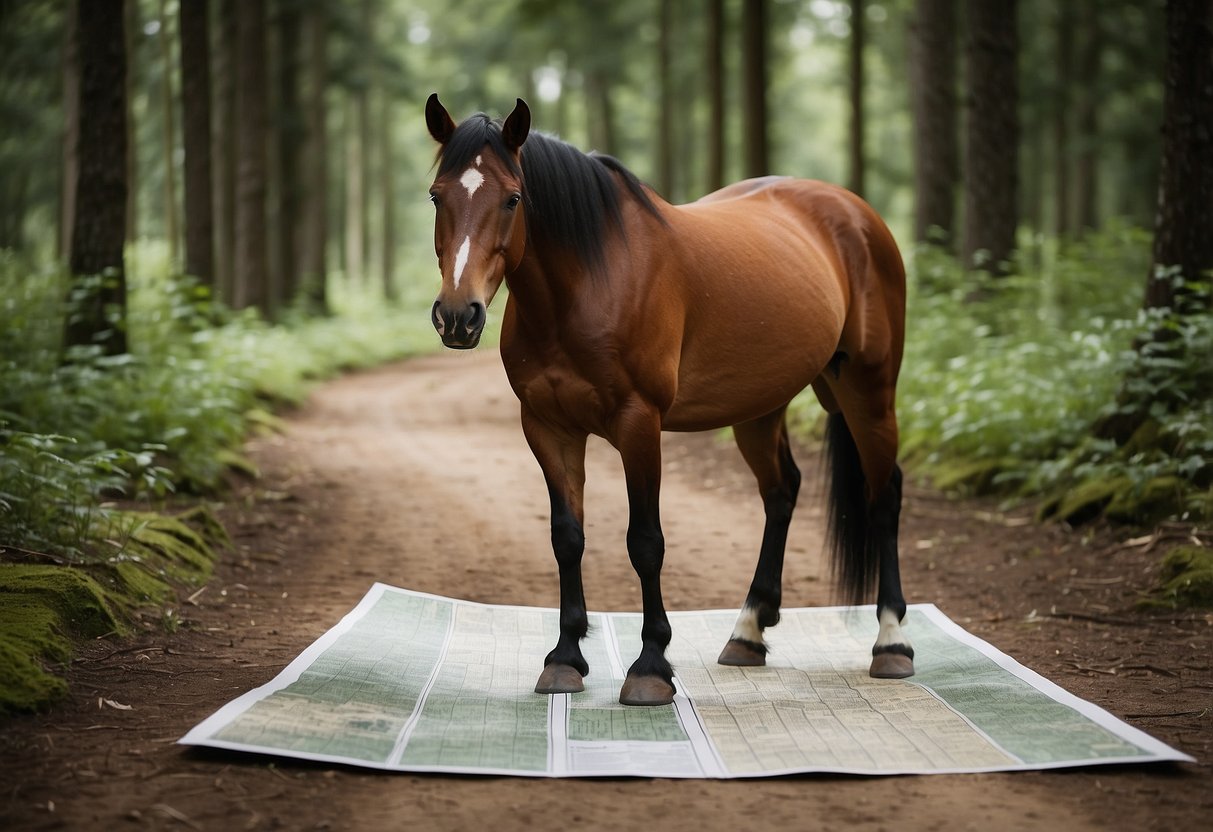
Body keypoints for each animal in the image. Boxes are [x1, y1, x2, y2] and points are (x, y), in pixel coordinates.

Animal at [426, 94, 912, 708]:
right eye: (436, 195)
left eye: (513, 198)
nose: (457, 316)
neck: (590, 281)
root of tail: (855, 212)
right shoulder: (547, 427)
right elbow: (567, 537)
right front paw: (565, 657)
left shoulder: (640, 425)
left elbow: (645, 542)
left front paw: (651, 666)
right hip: (760, 406)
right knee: (782, 491)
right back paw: (749, 631)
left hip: (870, 390)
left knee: (884, 495)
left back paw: (892, 642)